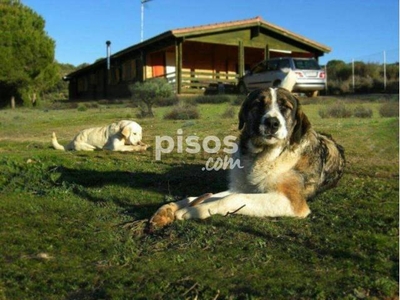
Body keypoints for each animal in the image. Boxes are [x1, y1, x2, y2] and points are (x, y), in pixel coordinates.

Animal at [149, 88, 344, 229]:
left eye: (285, 108)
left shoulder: (293, 202)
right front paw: (169, 209)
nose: (272, 123)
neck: (263, 156)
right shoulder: (242, 187)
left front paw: (197, 209)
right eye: (258, 105)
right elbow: (200, 196)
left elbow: (233, 199)